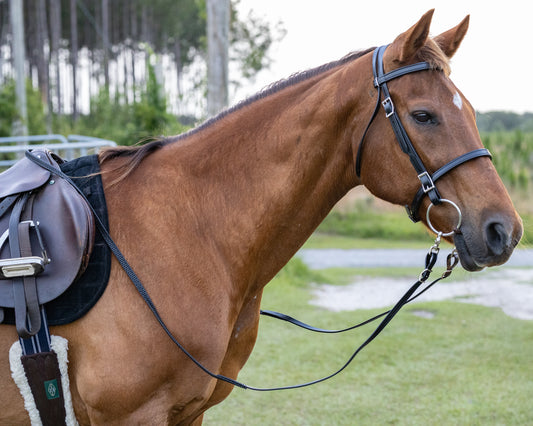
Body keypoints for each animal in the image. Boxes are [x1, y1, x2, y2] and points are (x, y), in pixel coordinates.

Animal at [0, 10, 520, 426]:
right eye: (424, 115)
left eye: (474, 113)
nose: (505, 230)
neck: (186, 231)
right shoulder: (132, 416)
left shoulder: (187, 413)